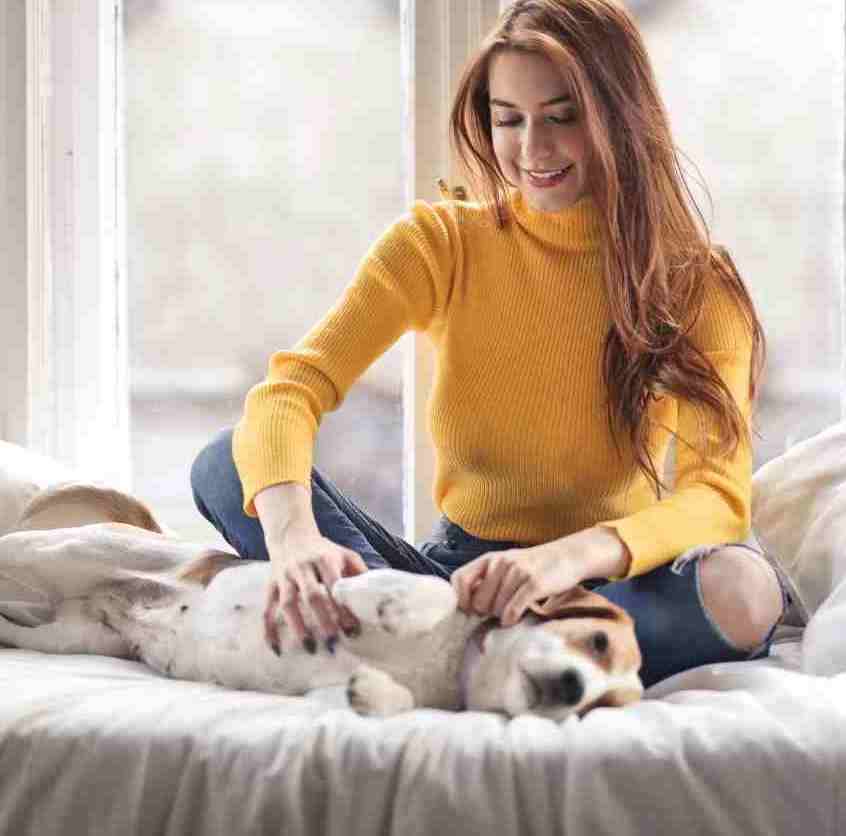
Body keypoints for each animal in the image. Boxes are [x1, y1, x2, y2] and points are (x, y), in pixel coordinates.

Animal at [0, 484, 644, 720]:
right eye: (597, 642)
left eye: (599, 707)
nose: (573, 689)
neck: (452, 663)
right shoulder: (348, 580)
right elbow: (432, 590)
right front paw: (404, 609)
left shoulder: (323, 691)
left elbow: (383, 699)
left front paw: (376, 693)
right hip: (66, 549)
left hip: (71, 636)